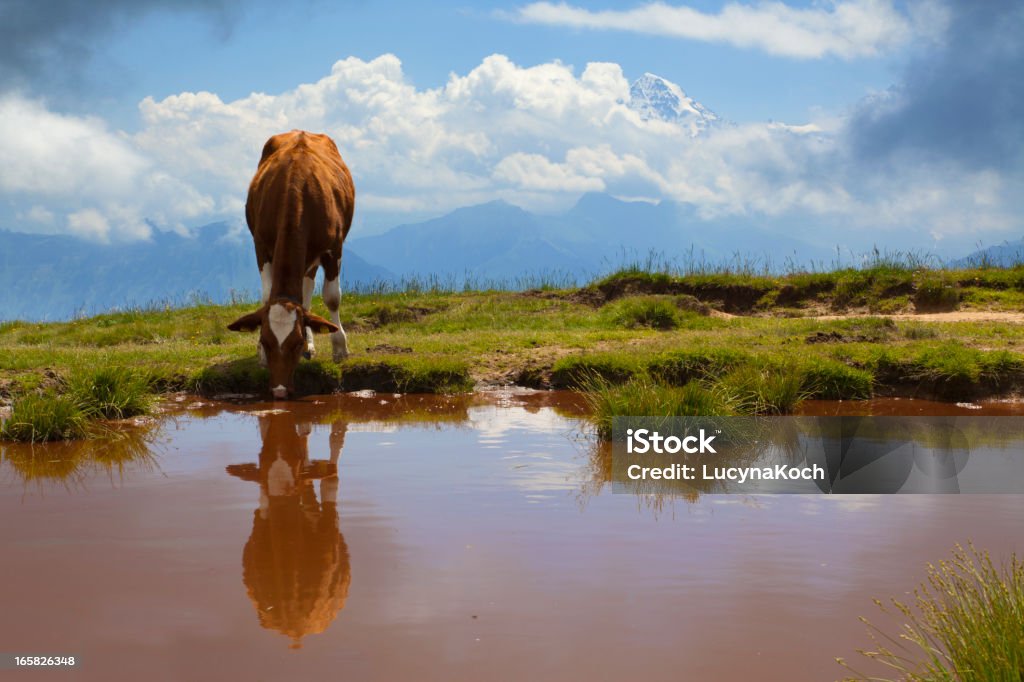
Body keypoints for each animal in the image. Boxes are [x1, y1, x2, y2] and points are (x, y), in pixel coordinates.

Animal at [228, 130, 356, 399]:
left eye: (295, 344)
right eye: (265, 340)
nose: (279, 390)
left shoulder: (334, 249)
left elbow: (332, 297)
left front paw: (339, 348)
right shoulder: (261, 246)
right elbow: (267, 296)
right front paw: (261, 355)